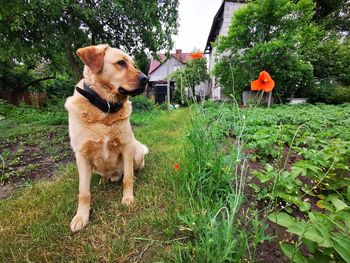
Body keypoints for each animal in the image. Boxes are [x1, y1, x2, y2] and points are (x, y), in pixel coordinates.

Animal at [65, 44, 149, 233]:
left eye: (133, 64)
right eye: (121, 63)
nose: (146, 79)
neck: (105, 108)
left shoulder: (127, 146)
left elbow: (128, 178)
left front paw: (128, 198)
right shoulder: (81, 155)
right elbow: (84, 192)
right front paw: (81, 217)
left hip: (137, 151)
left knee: (130, 171)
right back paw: (103, 180)